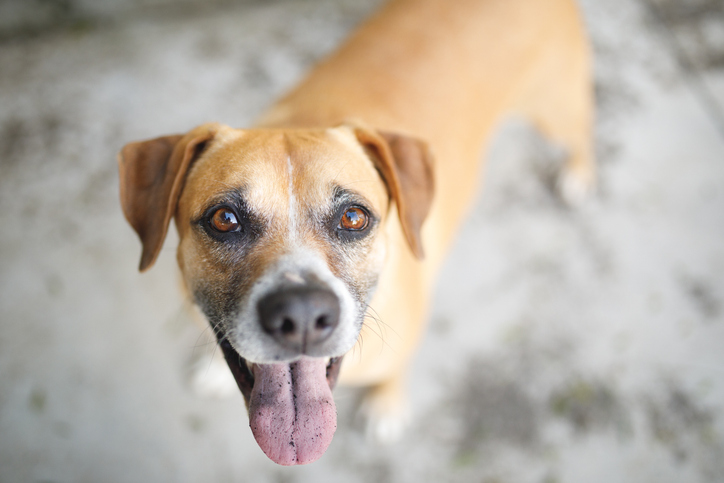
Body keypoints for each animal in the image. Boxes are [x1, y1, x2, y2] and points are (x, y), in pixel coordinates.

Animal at [117, 0, 592, 468]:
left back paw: (578, 175)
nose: (301, 316)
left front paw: (386, 406)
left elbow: (395, 372)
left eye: (353, 218)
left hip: (559, 110)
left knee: (582, 133)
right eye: (224, 219)